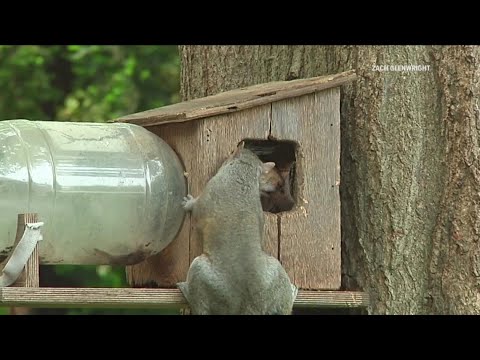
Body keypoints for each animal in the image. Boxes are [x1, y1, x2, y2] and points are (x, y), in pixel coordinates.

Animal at [177, 142, 296, 314]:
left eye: (232, 152)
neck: (243, 175)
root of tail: (247, 305)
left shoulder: (210, 193)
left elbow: (197, 207)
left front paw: (188, 202)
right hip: (276, 272)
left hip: (200, 271)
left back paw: (184, 289)